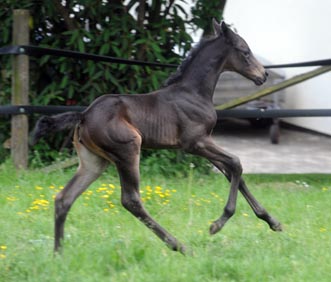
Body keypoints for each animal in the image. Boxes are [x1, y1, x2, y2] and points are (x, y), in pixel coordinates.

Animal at [33, 19, 282, 253]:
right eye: (244, 51)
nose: (263, 75)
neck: (193, 93)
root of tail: (83, 115)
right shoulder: (195, 143)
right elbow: (236, 164)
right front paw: (217, 224)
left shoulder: (204, 143)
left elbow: (233, 174)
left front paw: (273, 222)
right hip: (128, 149)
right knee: (131, 200)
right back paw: (179, 246)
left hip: (93, 161)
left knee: (64, 198)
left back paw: (58, 254)